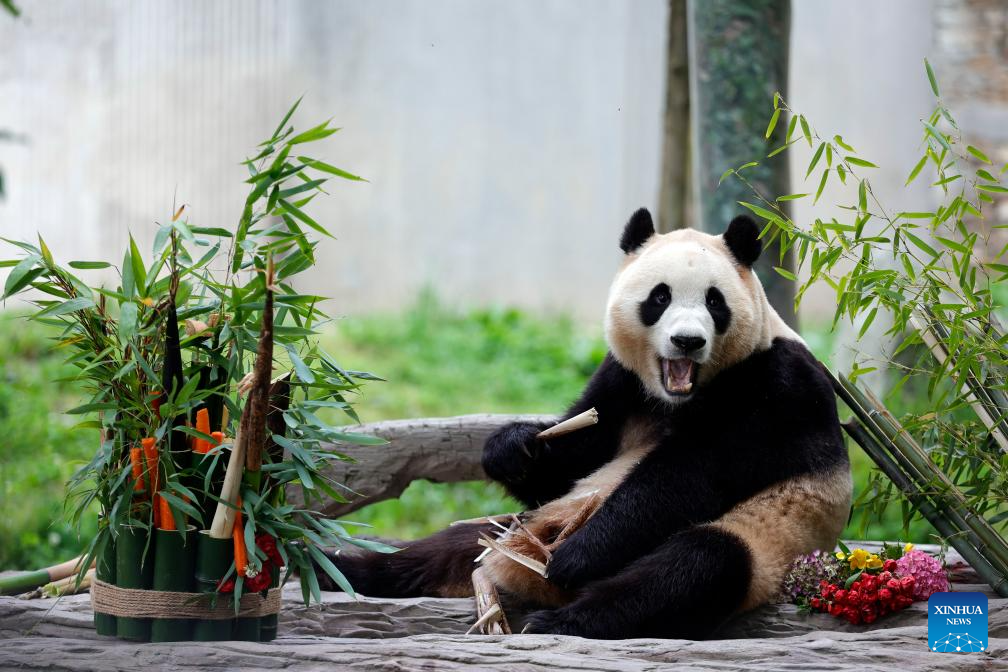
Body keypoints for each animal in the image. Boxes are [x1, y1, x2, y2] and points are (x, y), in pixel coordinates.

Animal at [318, 211, 854, 640]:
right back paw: (338, 570)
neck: (679, 399)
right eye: (659, 297)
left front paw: (577, 554)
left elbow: (689, 475)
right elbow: (577, 453)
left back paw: (560, 615)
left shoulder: (780, 389)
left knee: (692, 569)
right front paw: (511, 449)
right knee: (448, 546)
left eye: (714, 302)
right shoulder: (621, 383)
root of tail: (515, 575)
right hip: (511, 528)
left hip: (766, 545)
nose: (687, 341)